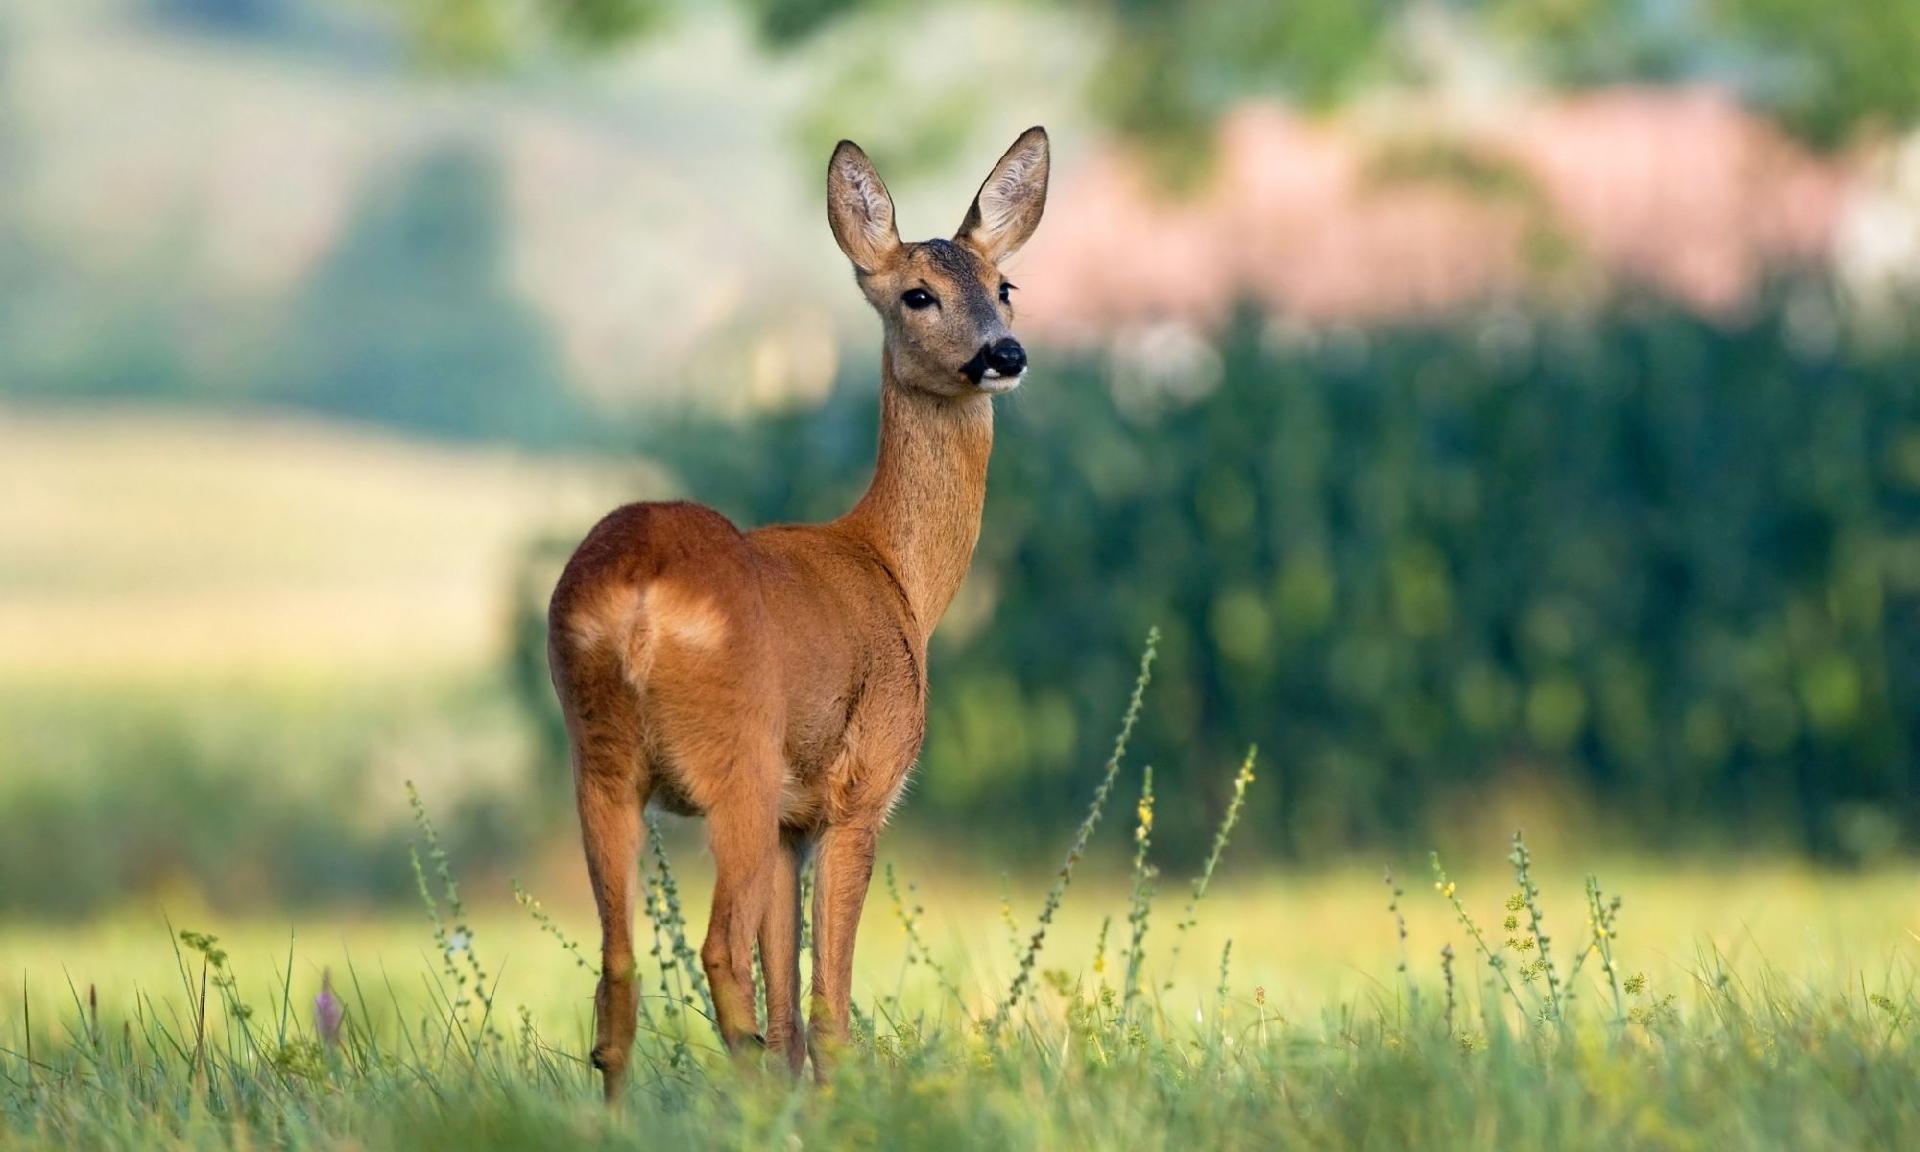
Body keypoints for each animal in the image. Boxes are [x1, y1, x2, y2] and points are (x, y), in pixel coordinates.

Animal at [546, 127, 1049, 1095]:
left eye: (1004, 286)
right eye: (917, 293)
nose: (1004, 354)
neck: (897, 574)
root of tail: (638, 598)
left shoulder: (791, 824)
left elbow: (789, 1010)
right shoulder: (859, 791)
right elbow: (827, 1008)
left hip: (600, 761)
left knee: (617, 972)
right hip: (734, 758)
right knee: (715, 953)